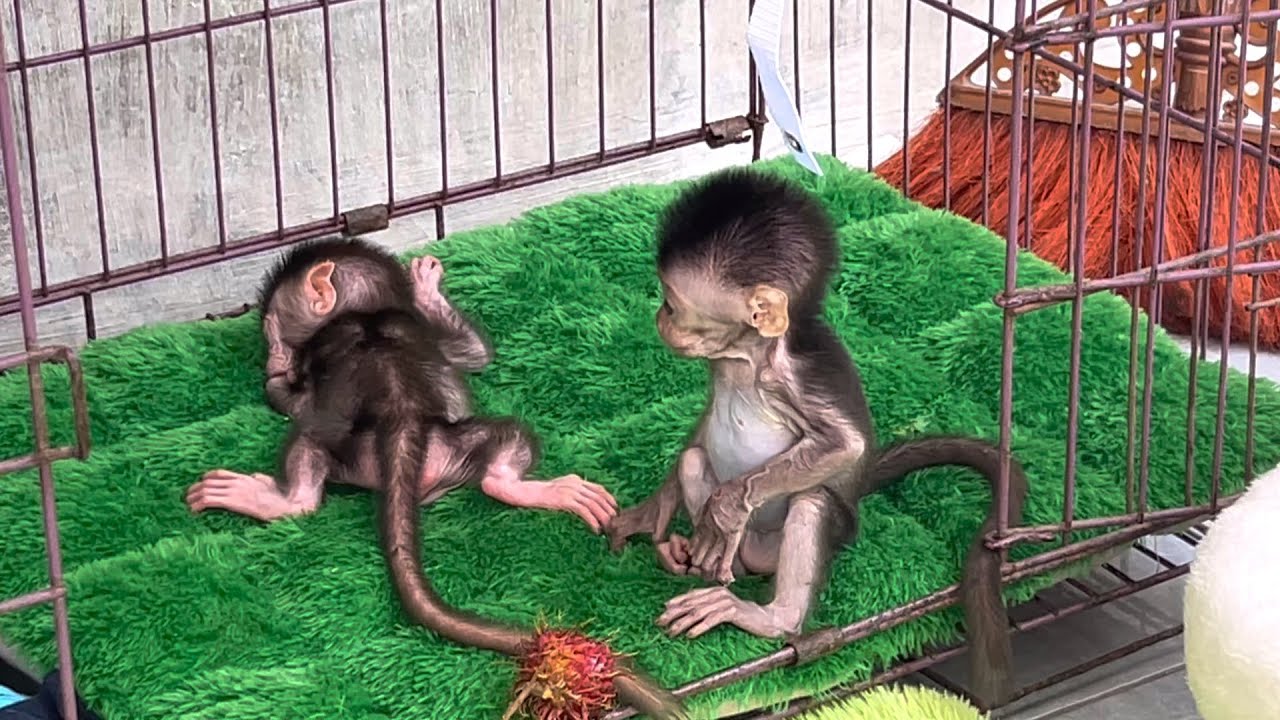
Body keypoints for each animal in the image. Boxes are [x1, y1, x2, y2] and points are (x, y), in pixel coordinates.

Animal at [604, 169, 1029, 708]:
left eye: (674, 306)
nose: (659, 319)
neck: (748, 357)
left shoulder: (792, 378)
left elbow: (843, 446)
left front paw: (728, 507)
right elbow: (701, 429)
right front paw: (654, 510)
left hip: (820, 532)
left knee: (812, 499)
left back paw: (767, 616)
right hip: (743, 552)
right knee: (694, 460)